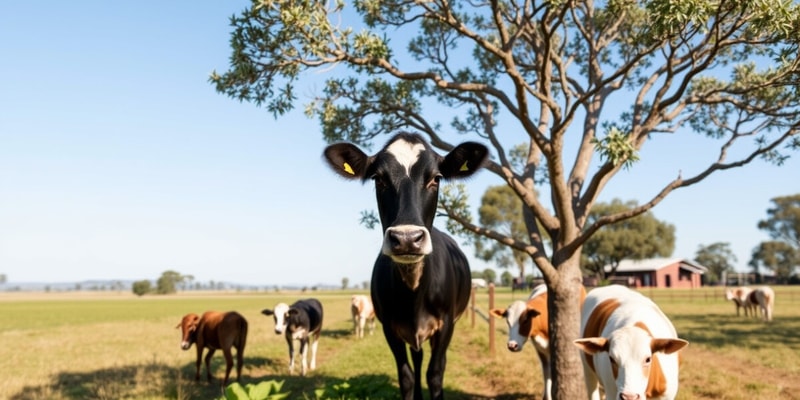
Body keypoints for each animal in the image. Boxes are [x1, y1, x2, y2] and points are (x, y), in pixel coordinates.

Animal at [324, 132, 488, 400]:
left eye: (436, 178)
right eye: (378, 179)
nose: (407, 238)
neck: (414, 295)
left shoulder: (446, 324)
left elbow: (435, 374)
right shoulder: (390, 327)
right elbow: (407, 376)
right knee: (417, 359)